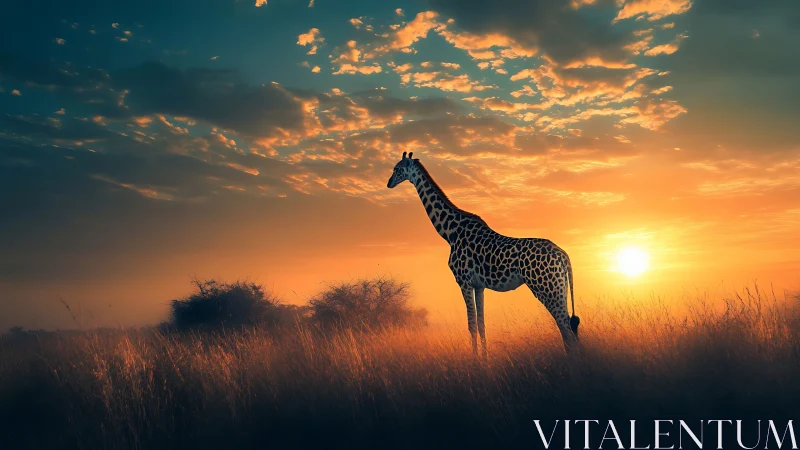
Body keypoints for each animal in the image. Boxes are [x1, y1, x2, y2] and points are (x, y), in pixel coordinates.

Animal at [387, 152, 580, 356]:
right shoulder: (479, 285)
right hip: (559, 287)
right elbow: (481, 324)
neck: (449, 232)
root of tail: (563, 256)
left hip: (546, 287)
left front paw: (475, 360)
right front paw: (485, 358)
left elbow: (471, 325)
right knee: (568, 325)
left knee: (565, 326)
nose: (389, 183)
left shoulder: (463, 281)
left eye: (397, 168)